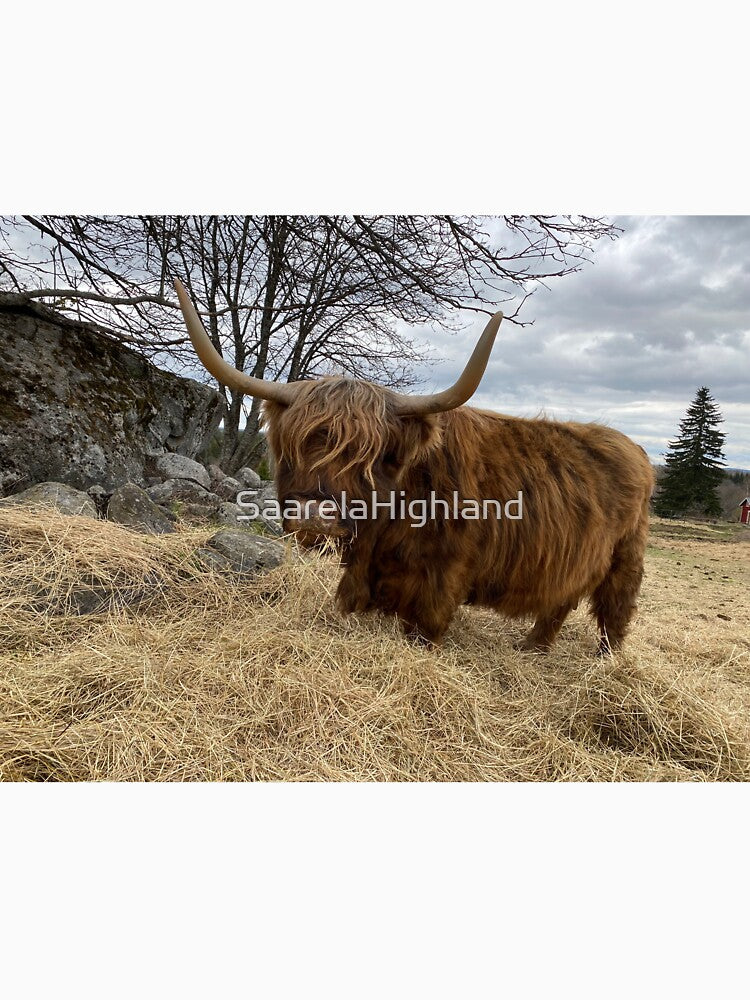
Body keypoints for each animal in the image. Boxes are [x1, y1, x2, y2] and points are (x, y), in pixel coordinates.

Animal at [175, 279, 654, 654]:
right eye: (295, 443)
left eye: (371, 456)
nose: (315, 515)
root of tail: (634, 447)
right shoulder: (360, 574)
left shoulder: (442, 581)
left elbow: (424, 628)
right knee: (560, 602)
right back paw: (532, 647)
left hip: (626, 557)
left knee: (615, 609)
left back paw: (603, 661)